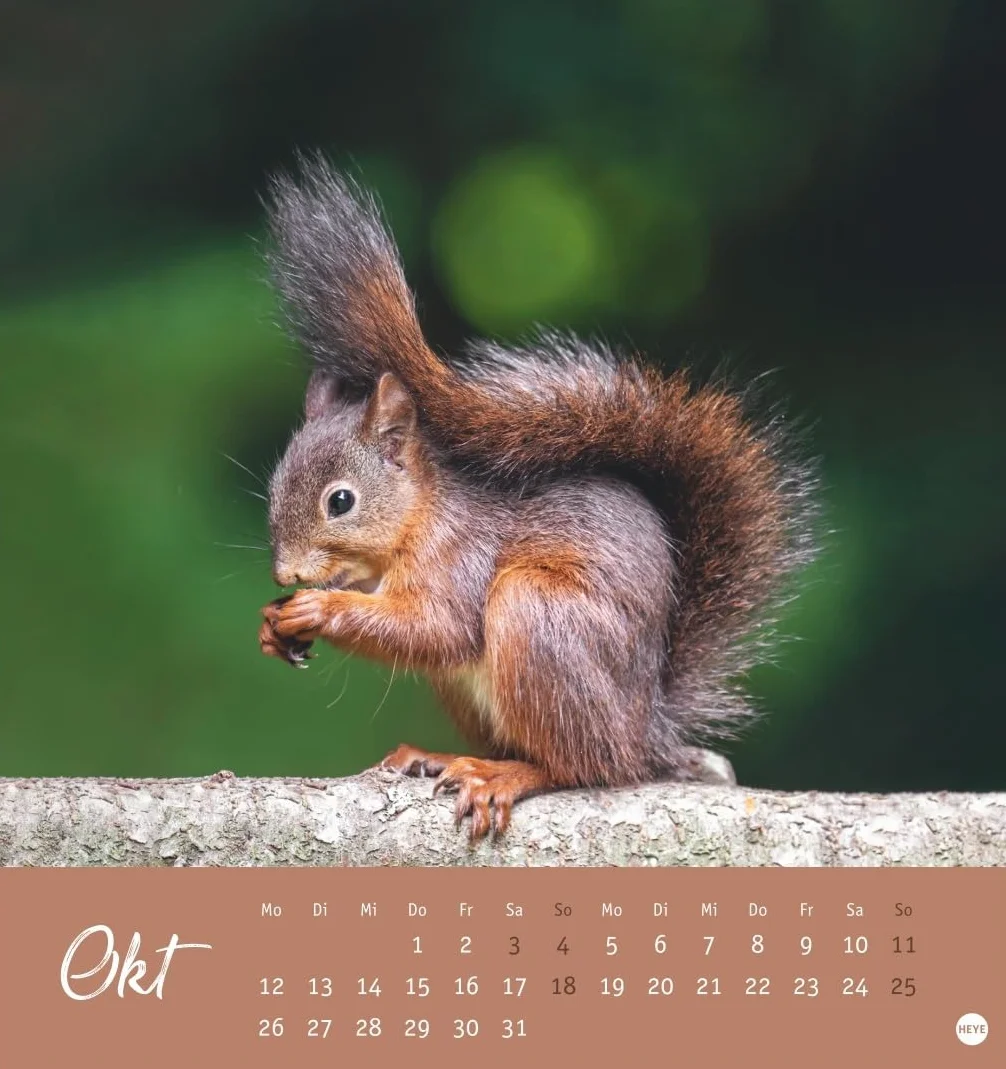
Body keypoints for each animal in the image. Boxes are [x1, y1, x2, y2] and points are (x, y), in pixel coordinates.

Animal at [257, 155, 819, 841]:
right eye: (274, 487)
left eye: (341, 501)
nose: (285, 573)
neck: (421, 515)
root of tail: (646, 732)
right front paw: (273, 623)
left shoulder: (461, 557)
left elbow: (436, 628)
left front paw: (318, 608)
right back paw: (440, 755)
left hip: (538, 618)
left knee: (581, 766)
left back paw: (505, 776)